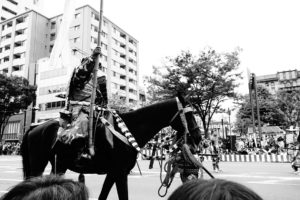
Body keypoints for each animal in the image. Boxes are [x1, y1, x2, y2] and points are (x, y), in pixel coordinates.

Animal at [20, 95, 202, 200]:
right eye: (189, 114)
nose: (198, 137)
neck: (128, 129)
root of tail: (34, 128)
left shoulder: (114, 173)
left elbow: (103, 196)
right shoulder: (120, 172)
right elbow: (123, 197)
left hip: (59, 164)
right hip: (38, 163)